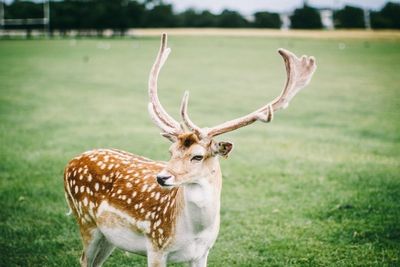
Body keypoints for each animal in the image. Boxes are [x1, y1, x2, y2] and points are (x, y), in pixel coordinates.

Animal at [64, 34, 318, 267]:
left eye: (198, 156)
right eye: (170, 151)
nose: (162, 177)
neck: (193, 233)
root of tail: (70, 162)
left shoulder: (203, 253)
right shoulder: (156, 245)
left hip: (108, 237)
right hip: (86, 221)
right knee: (83, 259)